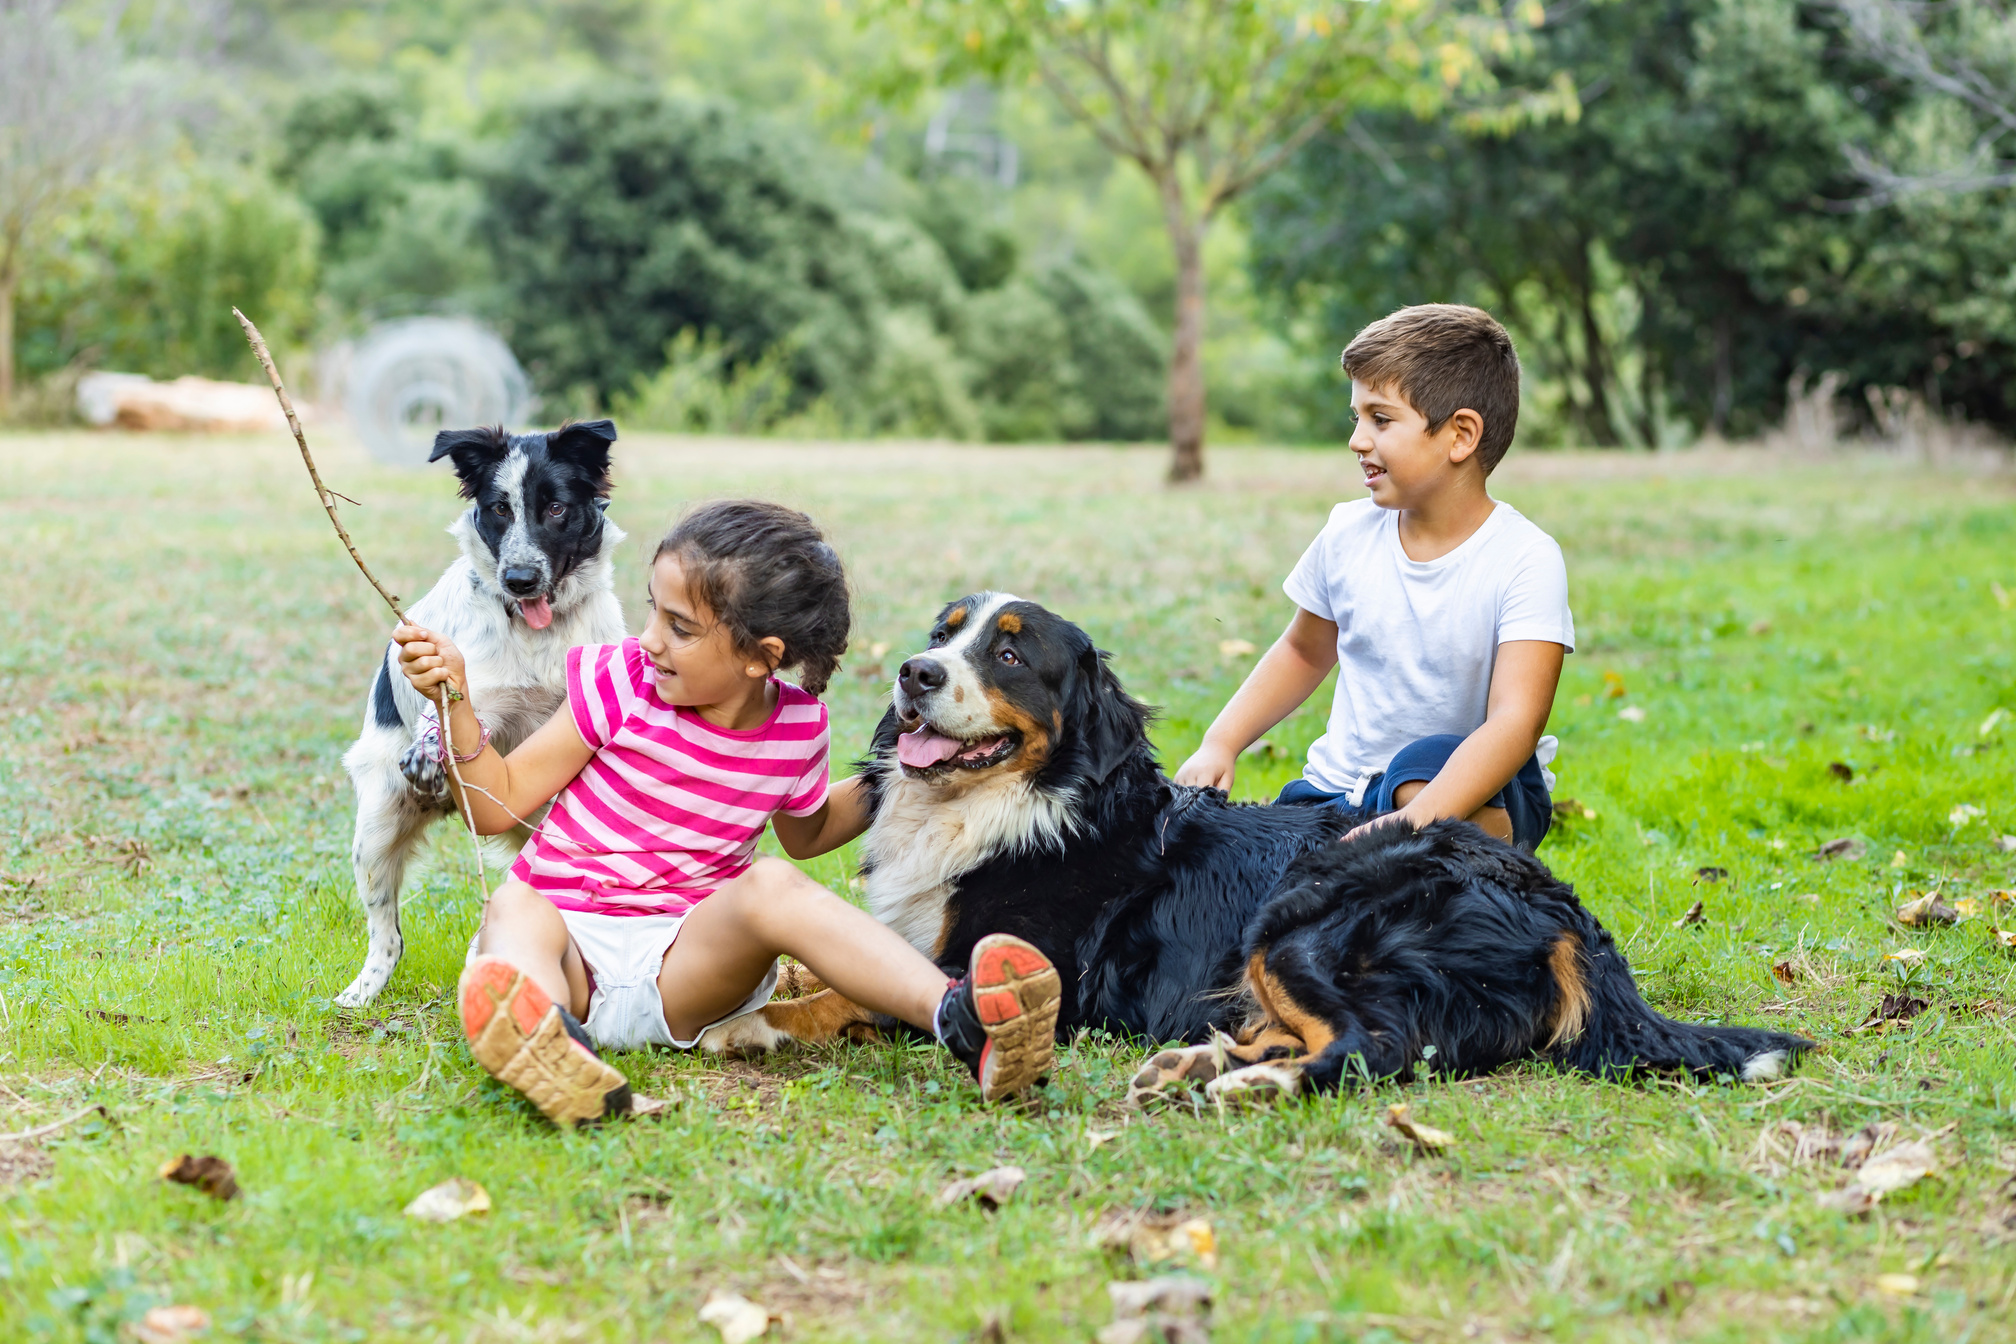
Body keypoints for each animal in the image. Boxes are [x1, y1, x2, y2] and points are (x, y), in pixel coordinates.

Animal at [334, 423, 624, 1007]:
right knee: (387, 935)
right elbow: (447, 716)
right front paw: (427, 751)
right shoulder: (474, 696)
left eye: (555, 507)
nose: (518, 579)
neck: (538, 634)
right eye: (499, 509)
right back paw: (363, 991)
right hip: (375, 831)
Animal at [701, 592, 1822, 1096]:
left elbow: (848, 992)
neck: (1006, 805)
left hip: (1306, 916)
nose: (915, 672)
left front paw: (746, 1026)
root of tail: (1555, 905)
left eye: (1010, 655)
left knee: (1374, 1049)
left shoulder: (1007, 967)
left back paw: (1246, 1082)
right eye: (946, 631)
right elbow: (821, 970)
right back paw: (1202, 1058)